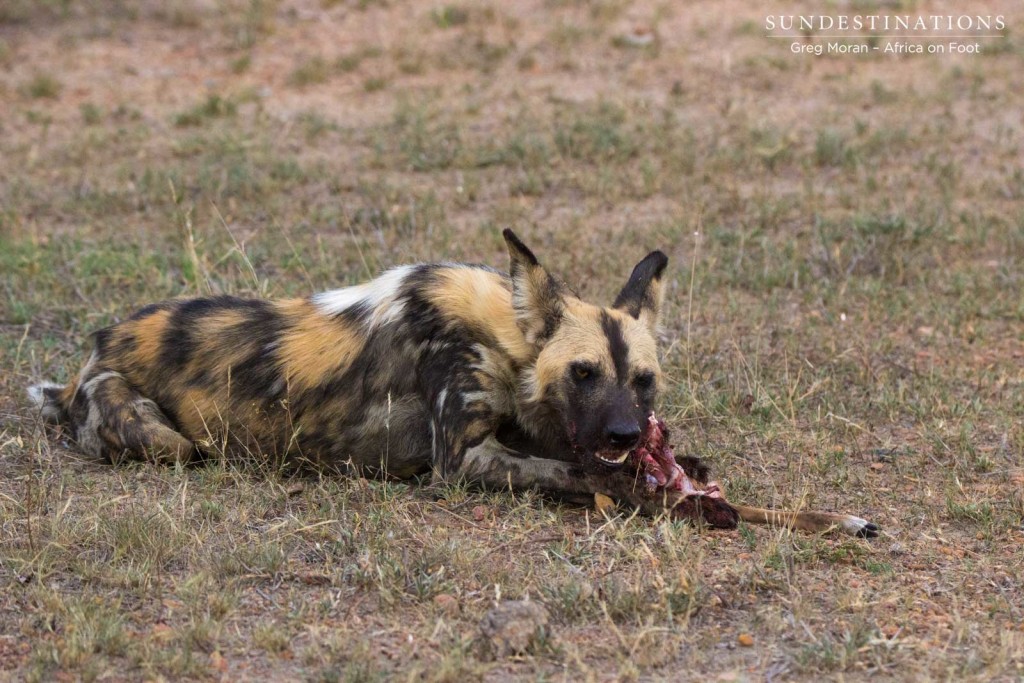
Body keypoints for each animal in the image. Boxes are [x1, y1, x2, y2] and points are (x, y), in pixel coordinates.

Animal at [32, 232, 880, 536]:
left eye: (643, 381)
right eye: (583, 373)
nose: (625, 434)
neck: (502, 337)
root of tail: (97, 343)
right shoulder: (467, 462)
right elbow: (593, 479)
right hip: (163, 438)